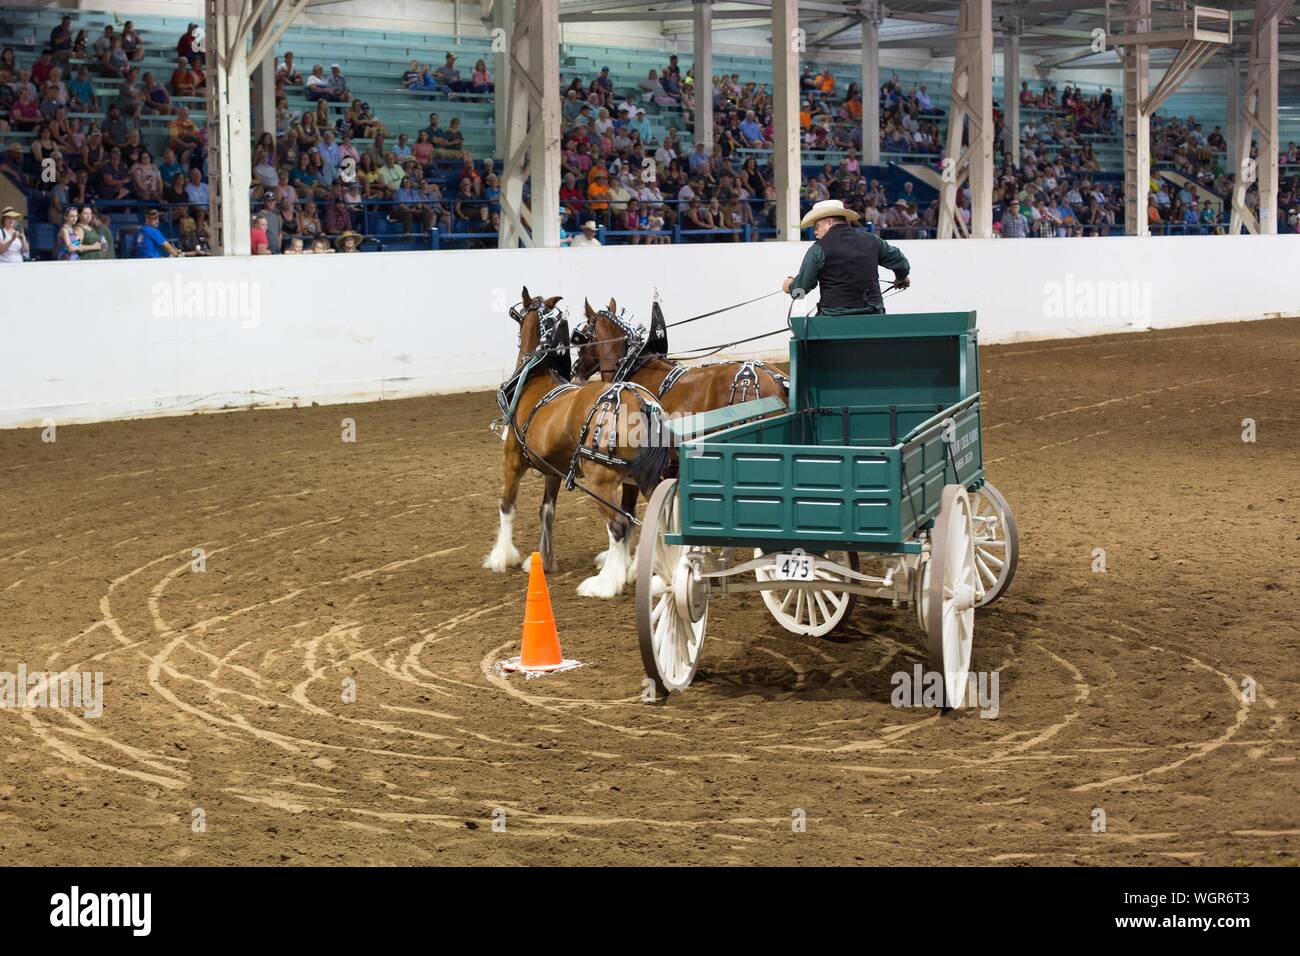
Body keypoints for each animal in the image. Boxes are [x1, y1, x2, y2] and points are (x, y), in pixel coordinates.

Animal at [486, 287, 670, 598]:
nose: (577, 369)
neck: (534, 376)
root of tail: (641, 402)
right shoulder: (553, 469)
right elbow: (546, 510)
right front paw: (543, 559)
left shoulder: (512, 459)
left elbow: (507, 506)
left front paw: (501, 557)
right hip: (644, 479)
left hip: (601, 480)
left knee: (619, 525)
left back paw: (605, 583)